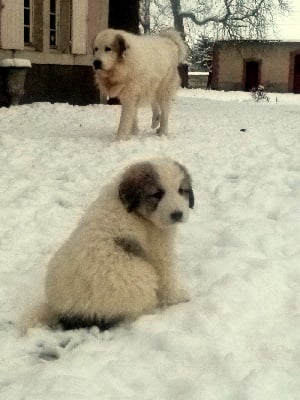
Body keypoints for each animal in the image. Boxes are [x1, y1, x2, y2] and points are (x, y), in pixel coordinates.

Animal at [26, 159, 195, 332]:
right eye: (157, 194)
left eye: (181, 190)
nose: (177, 214)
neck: (136, 212)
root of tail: (61, 310)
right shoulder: (159, 250)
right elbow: (167, 277)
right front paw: (179, 297)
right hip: (140, 278)